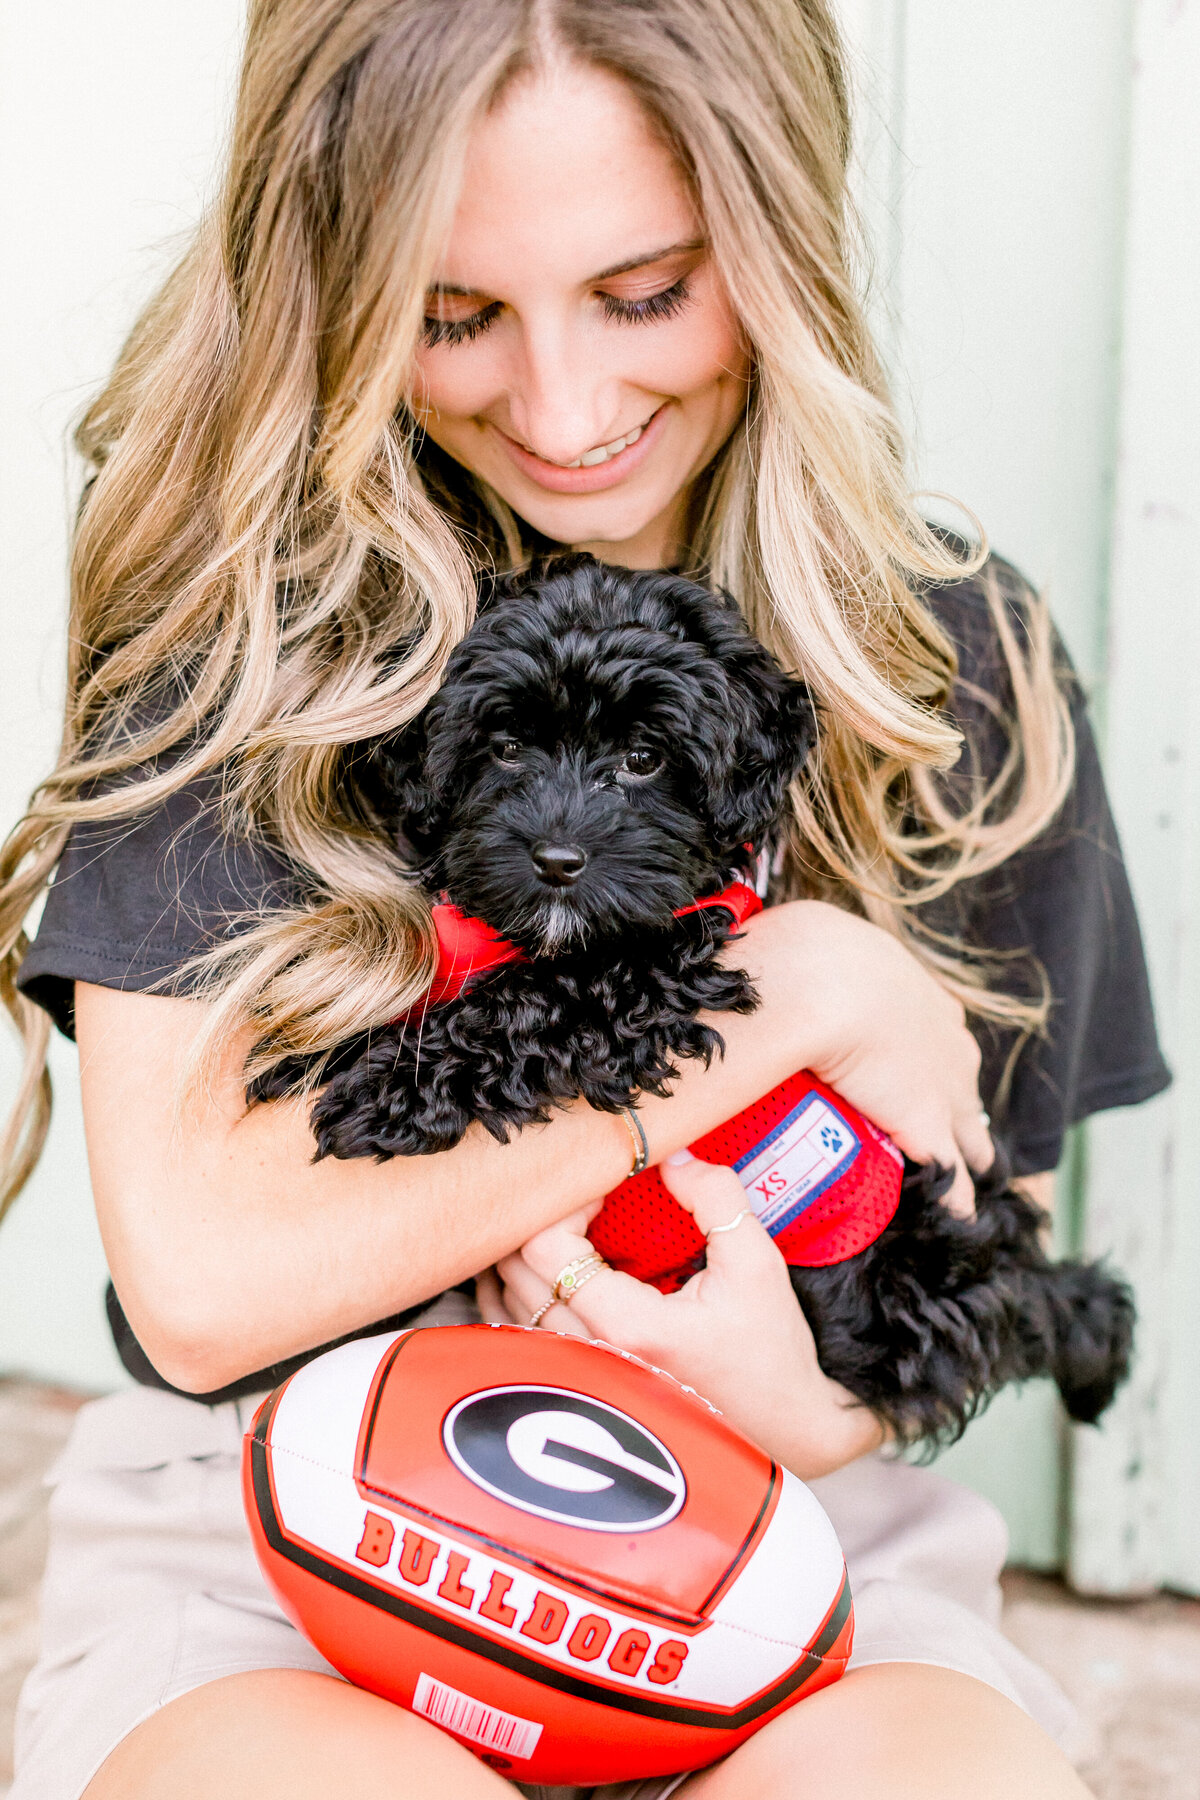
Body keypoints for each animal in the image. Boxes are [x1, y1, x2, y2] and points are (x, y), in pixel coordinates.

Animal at [262, 554, 1137, 1440]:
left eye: (645, 758)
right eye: (505, 748)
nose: (556, 860)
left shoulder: (658, 969)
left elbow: (549, 999)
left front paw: (393, 1089)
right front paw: (307, 1051)